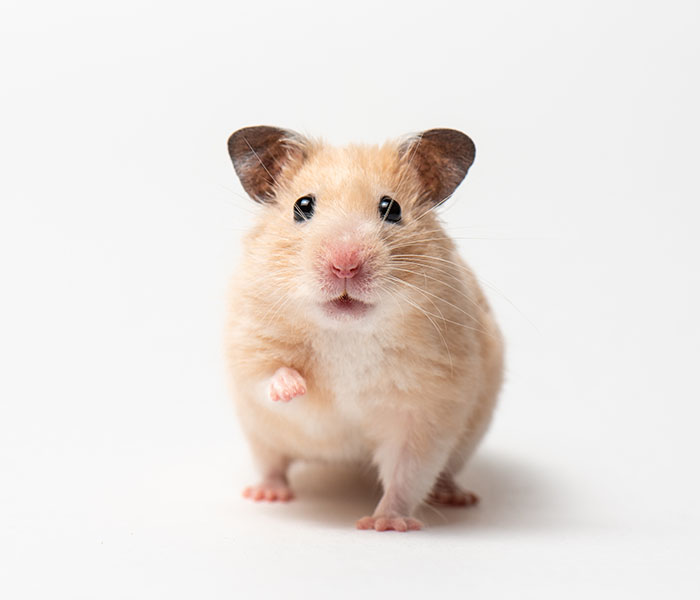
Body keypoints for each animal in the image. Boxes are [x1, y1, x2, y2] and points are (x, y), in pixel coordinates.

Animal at [225, 126, 504, 532]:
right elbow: (268, 378)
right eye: (302, 206)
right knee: (272, 463)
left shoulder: (425, 411)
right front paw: (294, 386)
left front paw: (384, 524)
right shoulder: (250, 351)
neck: (347, 333)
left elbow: (407, 473)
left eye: (392, 208)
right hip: (261, 436)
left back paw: (457, 497)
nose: (345, 266)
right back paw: (266, 494)